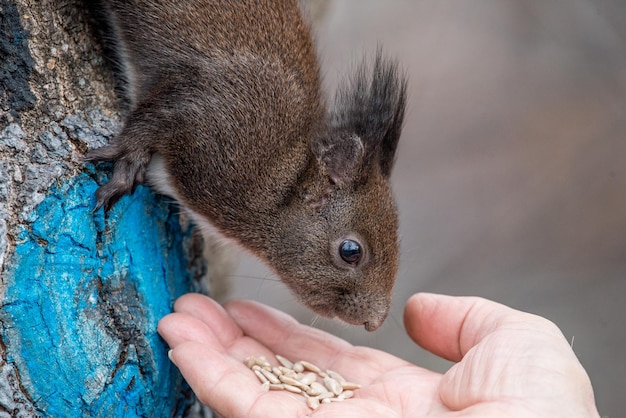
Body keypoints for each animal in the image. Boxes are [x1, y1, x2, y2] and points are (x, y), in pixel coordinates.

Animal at [86, 0, 404, 334]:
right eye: (350, 251)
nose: (374, 321)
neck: (282, 178)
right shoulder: (219, 109)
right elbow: (153, 120)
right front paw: (127, 162)